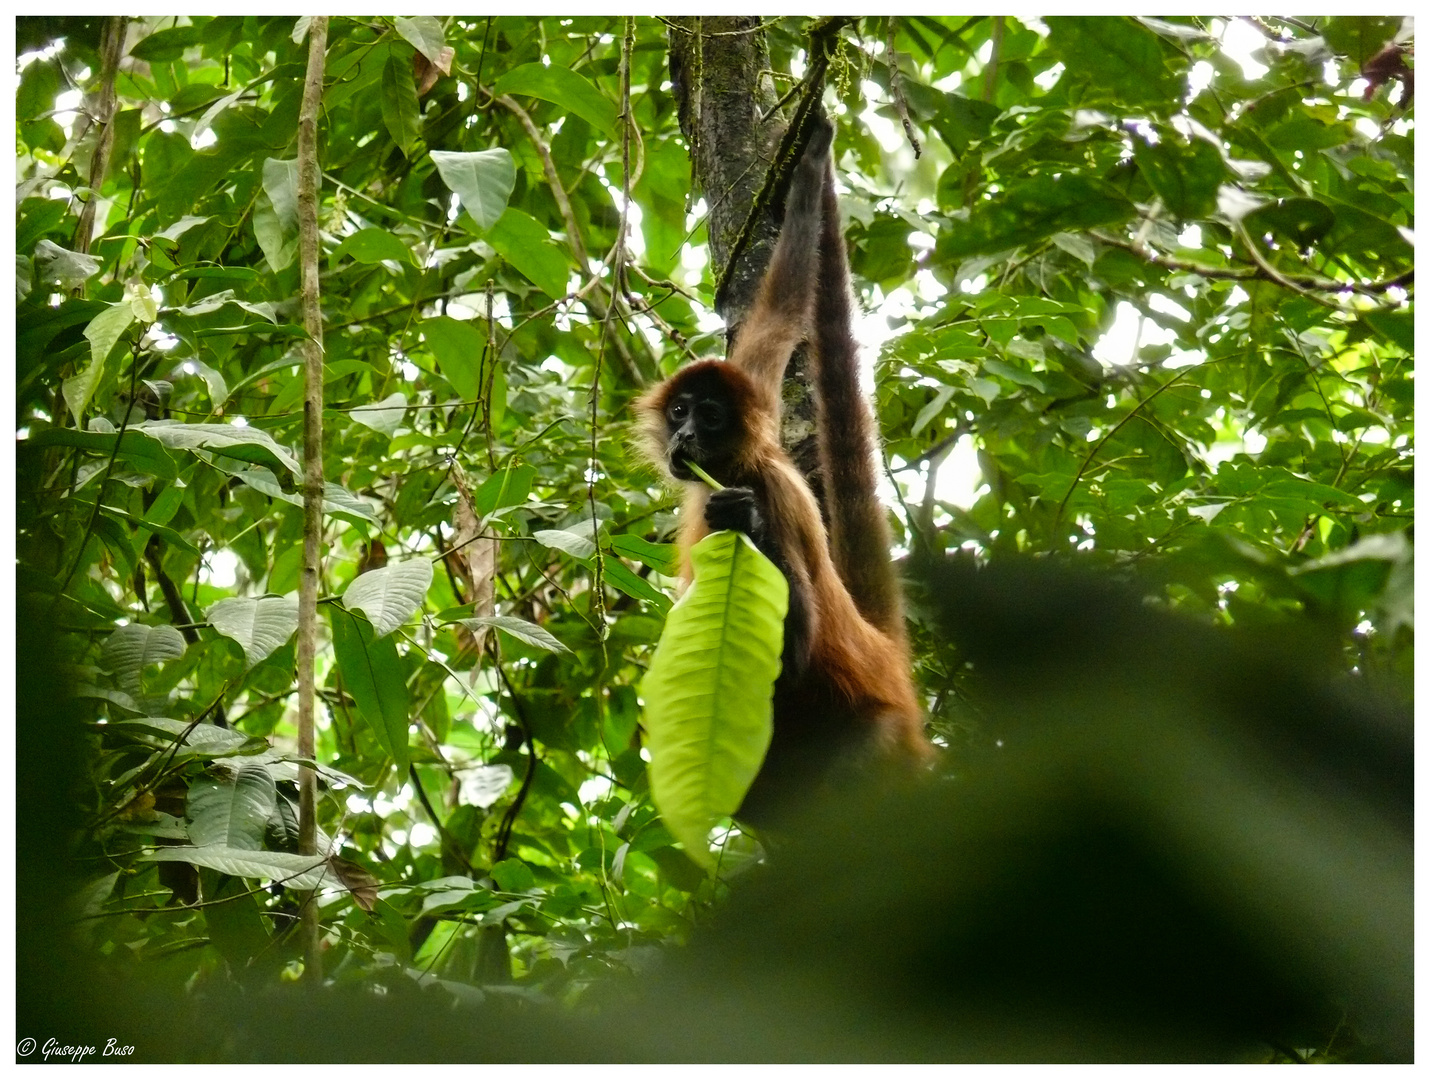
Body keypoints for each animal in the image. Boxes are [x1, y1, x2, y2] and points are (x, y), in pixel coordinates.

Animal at [640, 118, 932, 823]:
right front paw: (807, 174)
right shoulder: (757, 389)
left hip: (879, 735)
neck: (740, 463)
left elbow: (790, 652)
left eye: (710, 417)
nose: (685, 435)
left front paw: (740, 519)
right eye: (683, 410)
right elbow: (779, 315)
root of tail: (885, 657)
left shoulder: (775, 486)